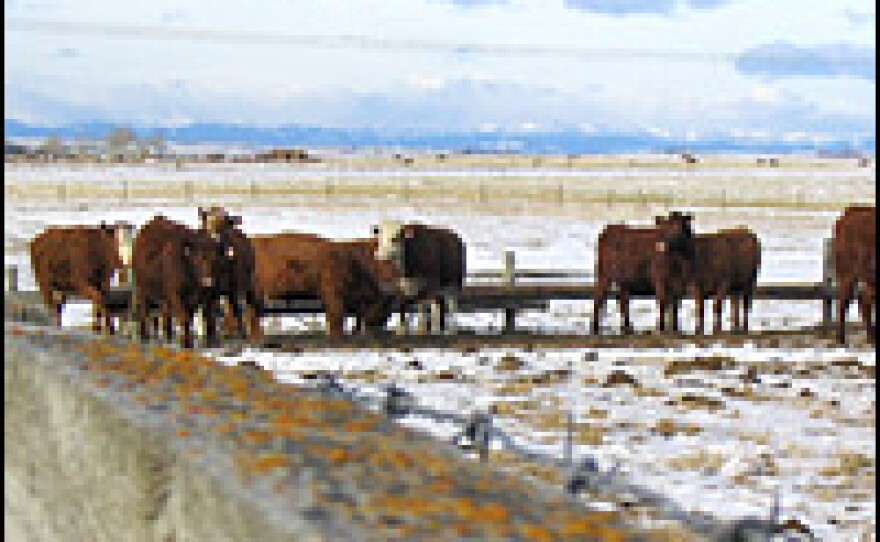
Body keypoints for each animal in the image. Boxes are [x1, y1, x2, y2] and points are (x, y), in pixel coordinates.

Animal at [132, 215, 227, 348]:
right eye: (199, 258)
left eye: (216, 259)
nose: (208, 281)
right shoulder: (176, 295)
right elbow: (184, 317)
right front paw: (186, 343)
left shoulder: (201, 298)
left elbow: (200, 317)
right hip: (142, 289)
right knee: (144, 310)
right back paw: (144, 335)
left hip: (164, 297)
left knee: (166, 313)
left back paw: (168, 335)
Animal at [198, 206, 261, 341]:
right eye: (208, 222)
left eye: (225, 224)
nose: (215, 239)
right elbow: (208, 312)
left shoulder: (234, 288)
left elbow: (237, 310)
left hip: (247, 283)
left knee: (247, 305)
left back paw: (251, 332)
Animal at [250, 233, 401, 338]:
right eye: (384, 305)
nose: (382, 324)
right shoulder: (334, 297)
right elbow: (336, 319)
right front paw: (336, 336)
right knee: (252, 315)